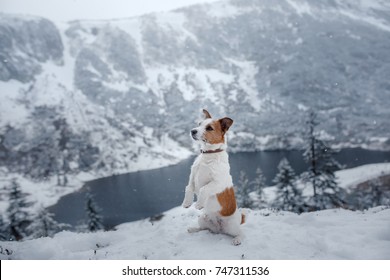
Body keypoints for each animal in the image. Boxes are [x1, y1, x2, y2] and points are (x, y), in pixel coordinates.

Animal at [182, 108, 244, 244]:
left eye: (209, 128)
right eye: (199, 124)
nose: (192, 131)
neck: (209, 155)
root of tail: (219, 228)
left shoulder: (218, 183)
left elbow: (204, 189)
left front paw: (199, 204)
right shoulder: (192, 177)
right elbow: (188, 188)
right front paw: (187, 203)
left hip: (233, 226)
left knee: (240, 232)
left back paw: (237, 239)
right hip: (202, 219)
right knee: (204, 228)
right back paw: (193, 229)